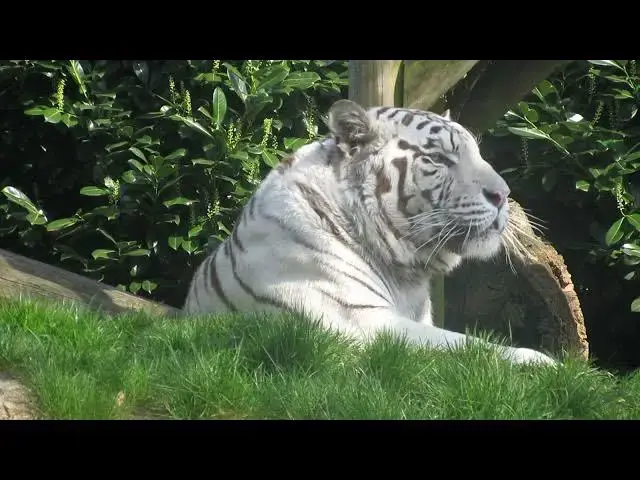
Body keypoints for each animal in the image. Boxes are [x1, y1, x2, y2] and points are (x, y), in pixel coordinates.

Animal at [183, 99, 557, 366]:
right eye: (439, 158)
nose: (503, 194)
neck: (407, 270)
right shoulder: (364, 324)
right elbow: (468, 346)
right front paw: (543, 363)